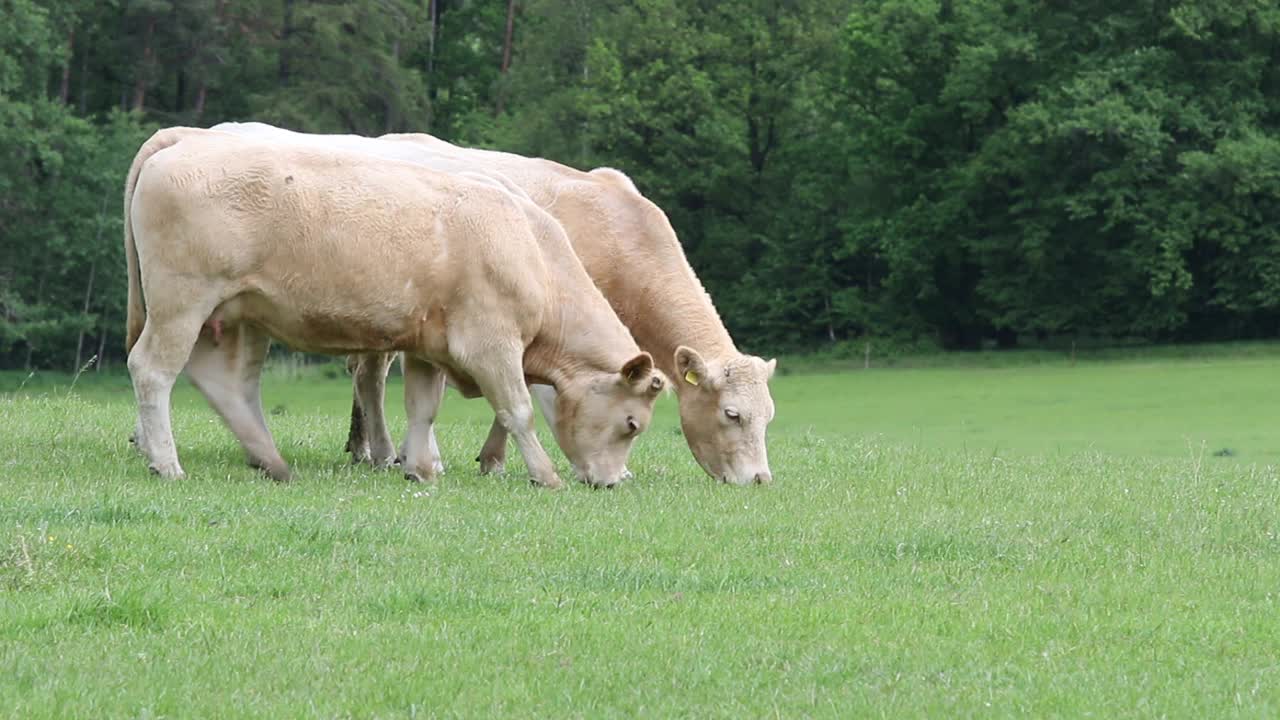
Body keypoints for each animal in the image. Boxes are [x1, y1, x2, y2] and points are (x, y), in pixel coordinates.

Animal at [120, 128, 665, 486]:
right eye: (632, 424)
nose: (614, 481)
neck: (533, 250)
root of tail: (181, 143)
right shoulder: (491, 344)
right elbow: (518, 411)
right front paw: (545, 475)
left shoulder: (428, 345)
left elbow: (423, 408)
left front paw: (419, 469)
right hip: (181, 303)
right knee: (152, 370)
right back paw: (167, 464)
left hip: (234, 315)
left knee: (228, 385)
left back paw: (269, 462)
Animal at [209, 122, 778, 484]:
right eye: (731, 414)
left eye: (768, 417)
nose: (759, 479)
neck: (616, 234)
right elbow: (526, 398)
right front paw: (505, 460)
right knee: (368, 377)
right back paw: (390, 453)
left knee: (365, 374)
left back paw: (367, 448)